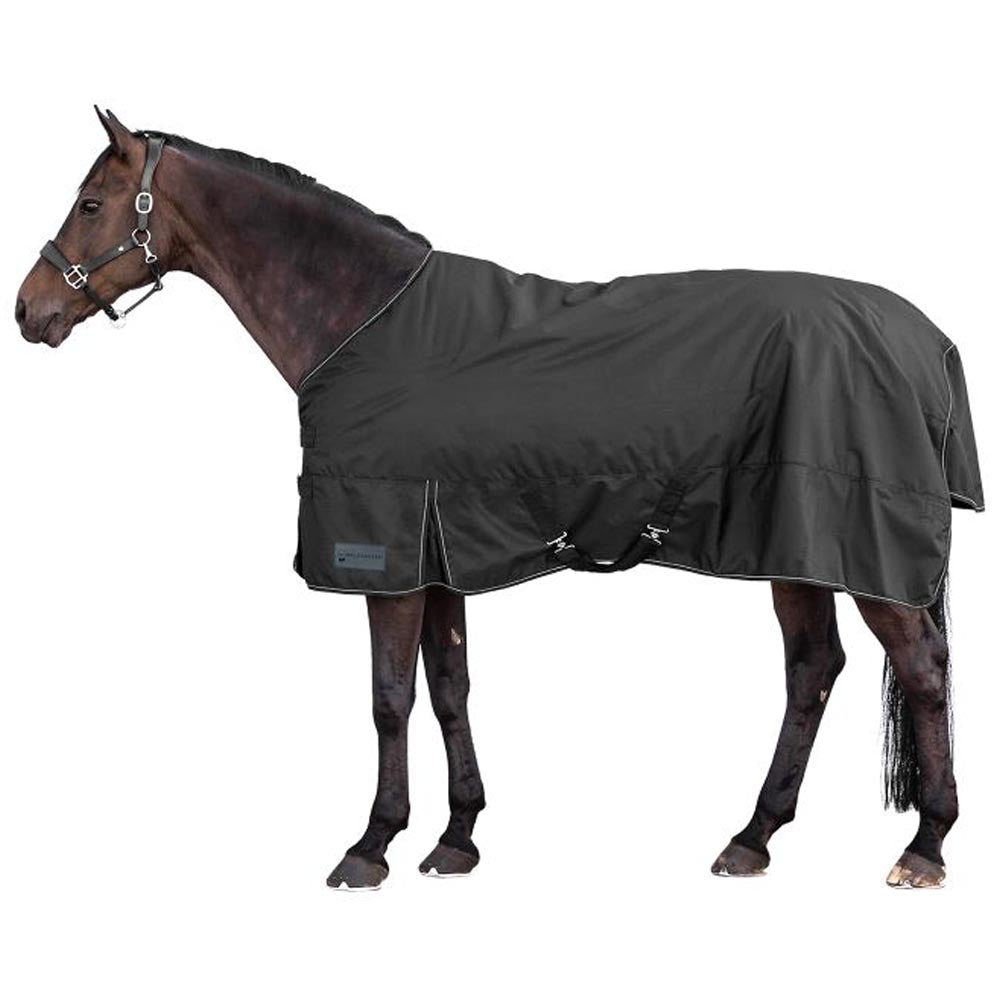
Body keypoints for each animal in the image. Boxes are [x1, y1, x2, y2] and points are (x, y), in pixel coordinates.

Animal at [16, 108, 983, 890]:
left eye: (91, 205)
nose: (29, 311)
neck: (362, 320)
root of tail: (926, 339)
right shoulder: (440, 546)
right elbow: (450, 688)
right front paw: (457, 839)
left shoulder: (387, 551)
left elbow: (389, 700)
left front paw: (371, 846)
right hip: (796, 544)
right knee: (813, 669)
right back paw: (752, 838)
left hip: (858, 547)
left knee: (921, 669)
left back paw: (925, 847)